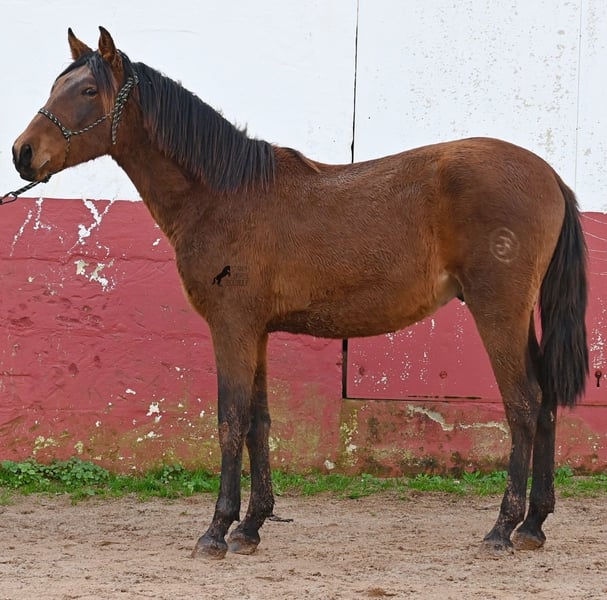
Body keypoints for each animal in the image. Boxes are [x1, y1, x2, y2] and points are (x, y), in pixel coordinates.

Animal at [12, 27, 588, 559]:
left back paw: (502, 529)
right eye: (58, 84)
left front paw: (216, 531)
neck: (223, 194)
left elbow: (230, 422)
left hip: (499, 311)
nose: (22, 153)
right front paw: (250, 527)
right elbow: (258, 424)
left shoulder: (232, 328)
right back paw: (534, 525)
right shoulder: (257, 332)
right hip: (519, 317)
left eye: (88, 90)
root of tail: (550, 175)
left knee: (524, 404)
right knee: (546, 402)